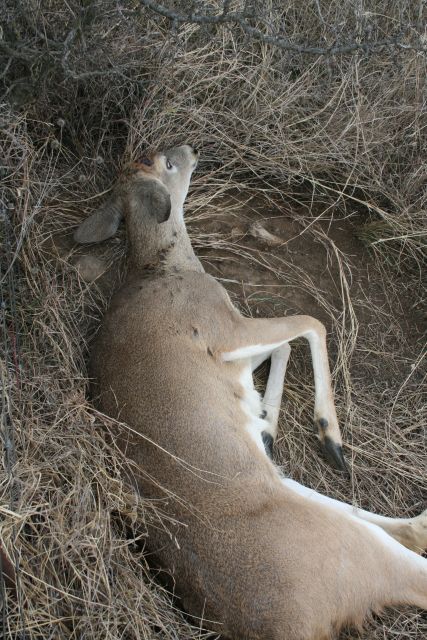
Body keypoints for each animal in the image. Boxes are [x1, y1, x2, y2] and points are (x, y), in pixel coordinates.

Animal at [76, 145, 427, 640]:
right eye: (163, 161)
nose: (190, 148)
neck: (163, 266)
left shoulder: (234, 348)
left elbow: (285, 344)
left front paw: (266, 424)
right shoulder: (222, 327)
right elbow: (310, 323)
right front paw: (326, 432)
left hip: (306, 500)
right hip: (346, 547)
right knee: (411, 554)